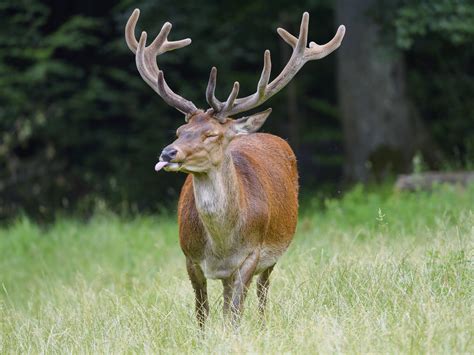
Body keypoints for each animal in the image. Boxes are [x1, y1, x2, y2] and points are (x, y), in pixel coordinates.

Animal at [123, 9, 344, 328]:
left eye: (212, 134)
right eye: (180, 130)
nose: (168, 152)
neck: (222, 245)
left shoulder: (252, 255)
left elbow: (235, 314)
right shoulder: (190, 257)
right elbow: (203, 312)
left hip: (274, 253)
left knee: (263, 293)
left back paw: (263, 325)